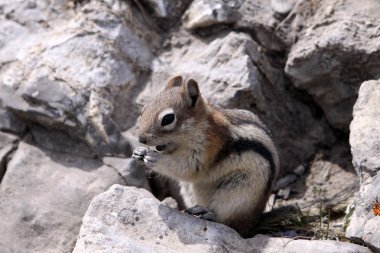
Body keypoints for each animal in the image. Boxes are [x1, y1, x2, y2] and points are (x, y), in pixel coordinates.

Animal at [133, 76, 280, 236]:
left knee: (231, 223)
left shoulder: (208, 148)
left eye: (168, 119)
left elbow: (188, 167)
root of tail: (254, 221)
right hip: (189, 190)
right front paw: (139, 152)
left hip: (239, 193)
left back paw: (208, 213)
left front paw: (155, 158)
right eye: (144, 109)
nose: (141, 138)